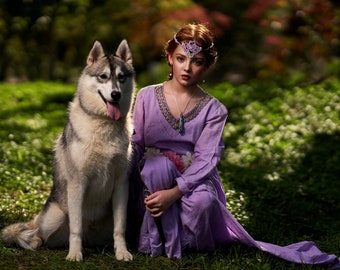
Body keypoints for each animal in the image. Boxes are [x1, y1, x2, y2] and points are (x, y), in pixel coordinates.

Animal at [1, 39, 137, 260]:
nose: (115, 95)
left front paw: (122, 252)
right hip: (54, 217)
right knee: (39, 233)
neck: (103, 124)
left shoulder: (121, 184)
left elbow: (120, 228)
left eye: (121, 77)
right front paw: (74, 254)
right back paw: (35, 240)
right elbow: (76, 227)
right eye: (103, 77)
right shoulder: (77, 183)